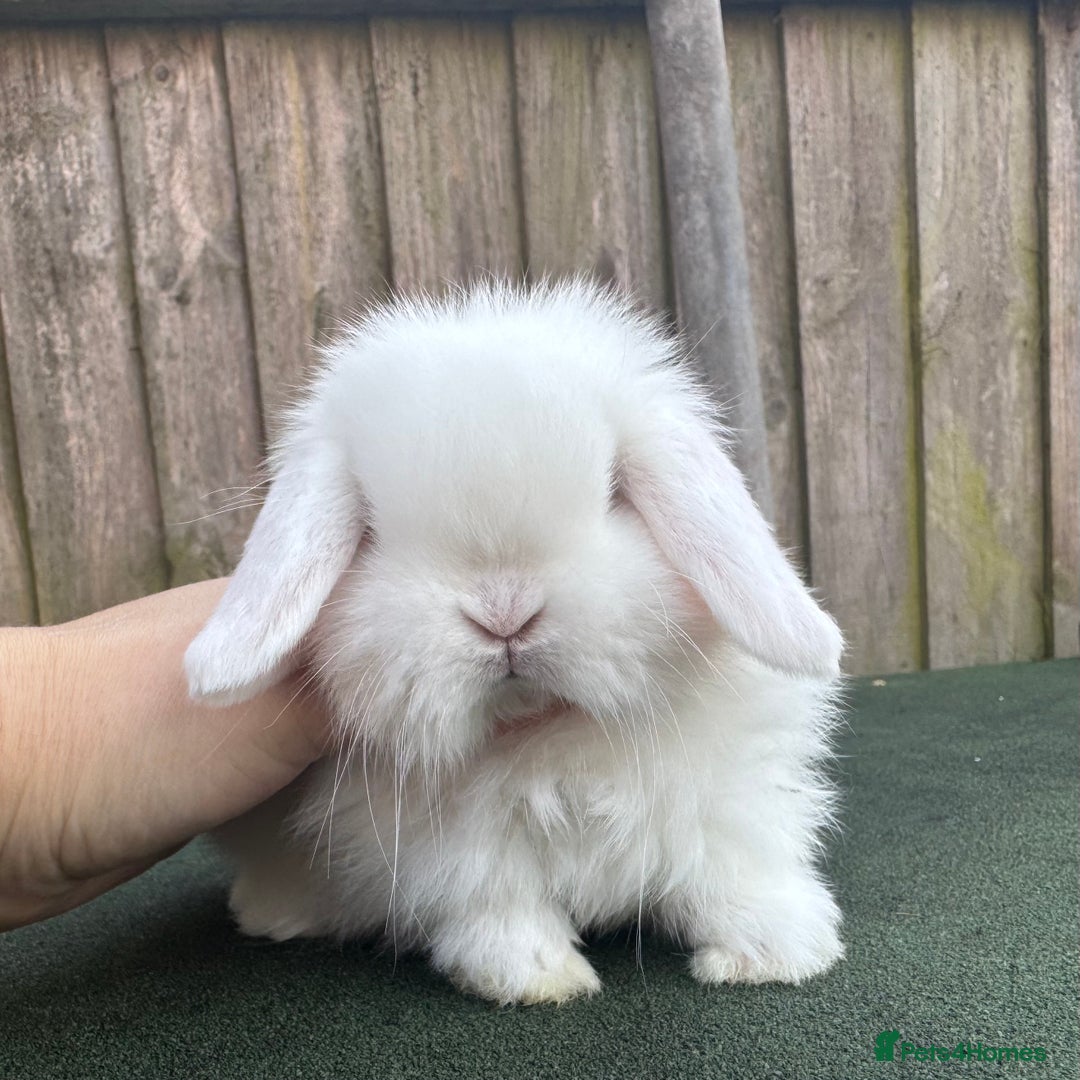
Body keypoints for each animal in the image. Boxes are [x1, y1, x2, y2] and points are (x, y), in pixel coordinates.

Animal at [185, 278, 845, 1005]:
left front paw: (776, 955)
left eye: (615, 490)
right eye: (370, 529)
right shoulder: (456, 858)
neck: (550, 736)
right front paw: (540, 979)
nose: (505, 616)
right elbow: (500, 909)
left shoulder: (725, 801)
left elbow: (731, 873)